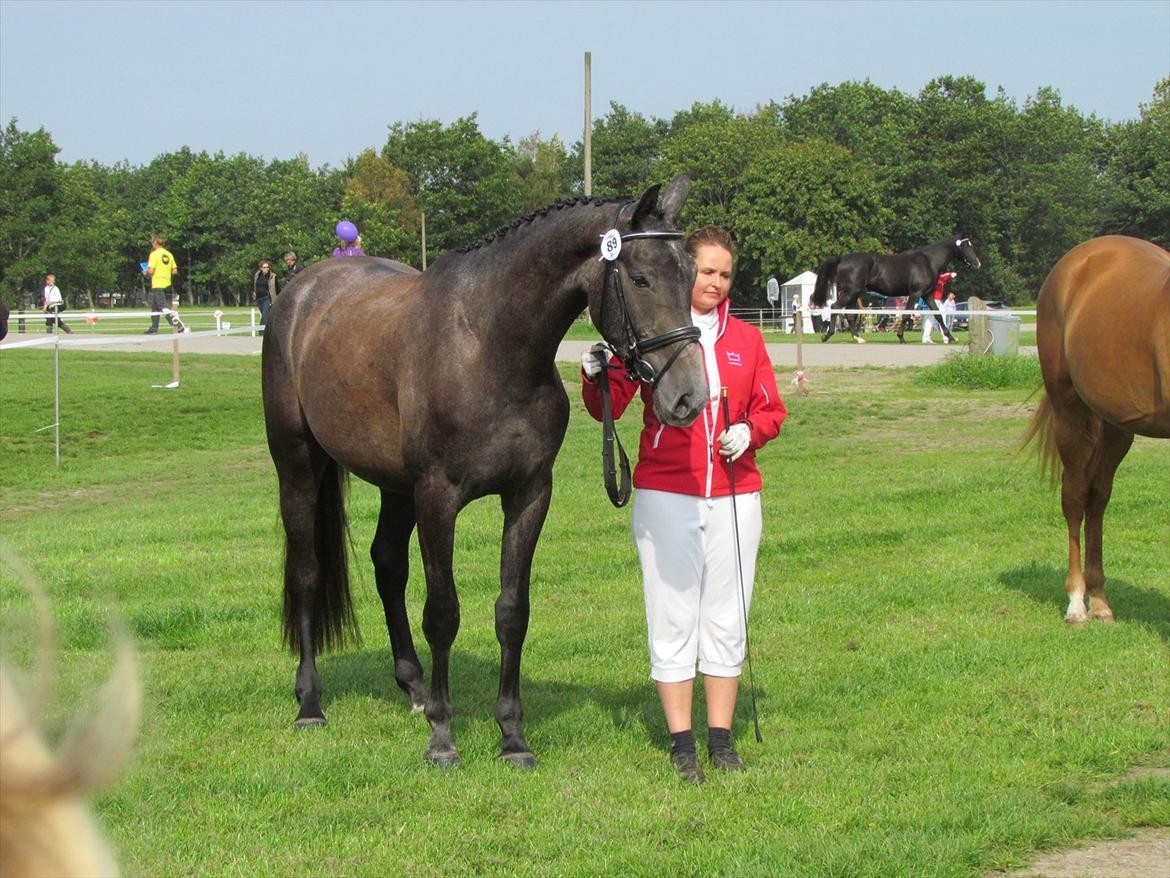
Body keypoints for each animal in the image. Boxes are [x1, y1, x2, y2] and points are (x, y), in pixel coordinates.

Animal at [264, 179, 702, 767]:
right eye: (640, 277)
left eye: (693, 275)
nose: (689, 395)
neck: (489, 347)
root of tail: (301, 291)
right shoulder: (438, 497)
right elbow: (443, 612)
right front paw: (443, 737)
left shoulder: (528, 495)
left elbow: (512, 611)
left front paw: (512, 735)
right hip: (299, 466)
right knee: (308, 570)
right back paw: (310, 703)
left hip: (395, 487)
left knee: (387, 565)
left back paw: (415, 688)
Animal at [809, 238, 982, 346]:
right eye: (966, 247)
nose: (977, 264)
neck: (928, 261)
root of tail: (842, 259)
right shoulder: (915, 293)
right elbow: (906, 315)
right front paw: (901, 337)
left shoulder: (927, 295)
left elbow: (938, 315)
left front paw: (951, 337)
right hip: (850, 292)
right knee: (835, 308)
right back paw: (827, 335)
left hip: (853, 294)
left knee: (849, 315)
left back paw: (858, 338)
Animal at [1024, 235, 1170, 627]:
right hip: (1069, 411)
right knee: (1075, 496)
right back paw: (1077, 602)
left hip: (1117, 426)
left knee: (1098, 496)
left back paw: (1100, 600)